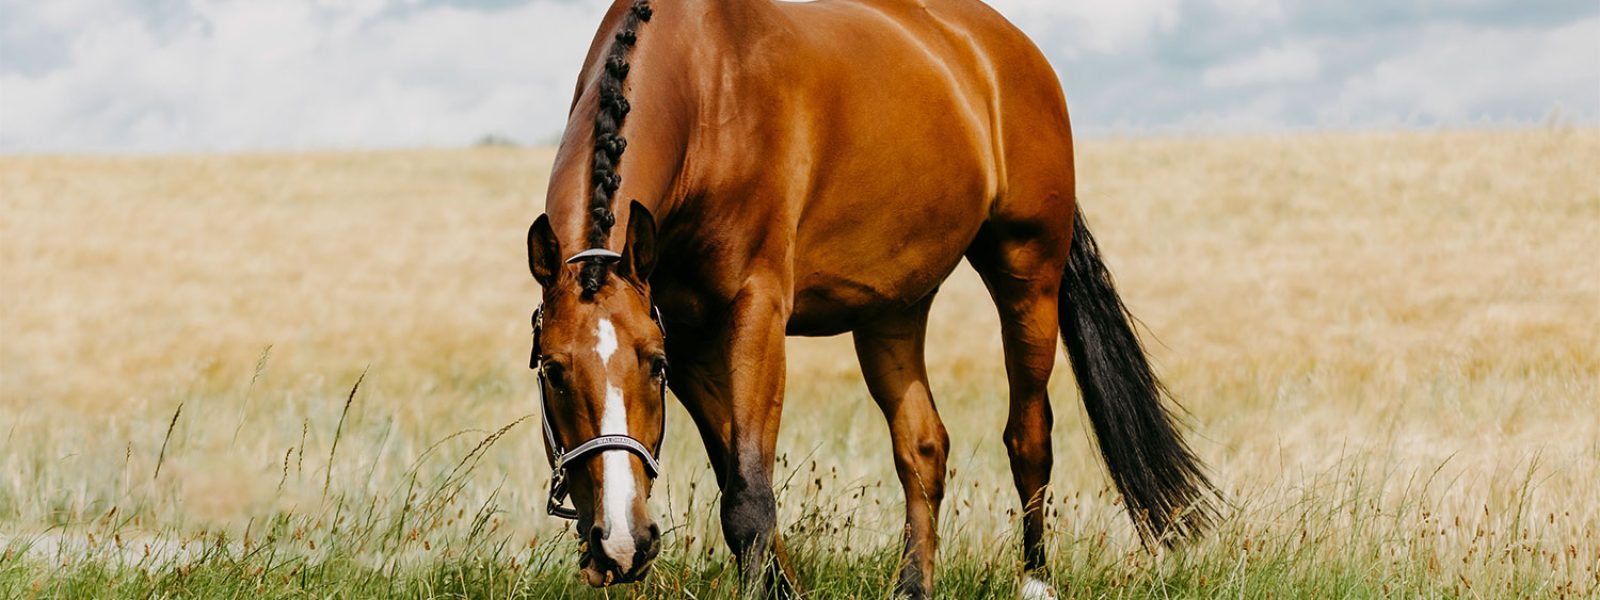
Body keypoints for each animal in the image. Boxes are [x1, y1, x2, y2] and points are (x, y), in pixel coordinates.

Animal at [524, 0, 1220, 596]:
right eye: (552, 371)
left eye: (651, 365)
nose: (620, 544)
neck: (706, 93)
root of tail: (1011, 51)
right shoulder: (690, 336)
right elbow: (736, 479)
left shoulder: (751, 313)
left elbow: (748, 497)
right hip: (892, 313)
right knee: (924, 447)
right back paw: (914, 586)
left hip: (1029, 275)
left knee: (1029, 436)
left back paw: (1035, 581)